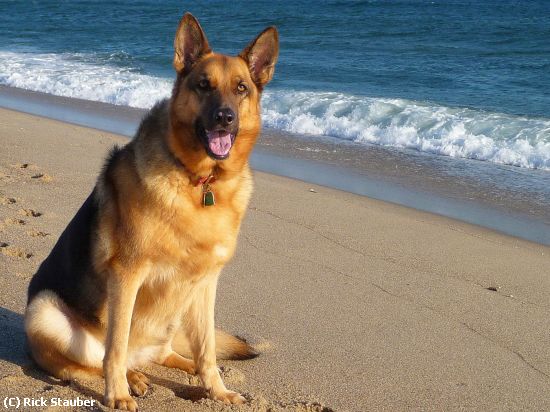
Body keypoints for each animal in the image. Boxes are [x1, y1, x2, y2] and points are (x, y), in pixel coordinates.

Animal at [23, 12, 278, 408]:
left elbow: (207, 349)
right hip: (44, 310)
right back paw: (132, 380)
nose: (224, 118)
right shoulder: (127, 274)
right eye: (203, 85)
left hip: (175, 312)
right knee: (89, 363)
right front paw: (117, 394)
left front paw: (216, 390)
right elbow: (114, 347)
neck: (199, 181)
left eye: (240, 88)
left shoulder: (206, 283)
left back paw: (180, 375)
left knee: (168, 354)